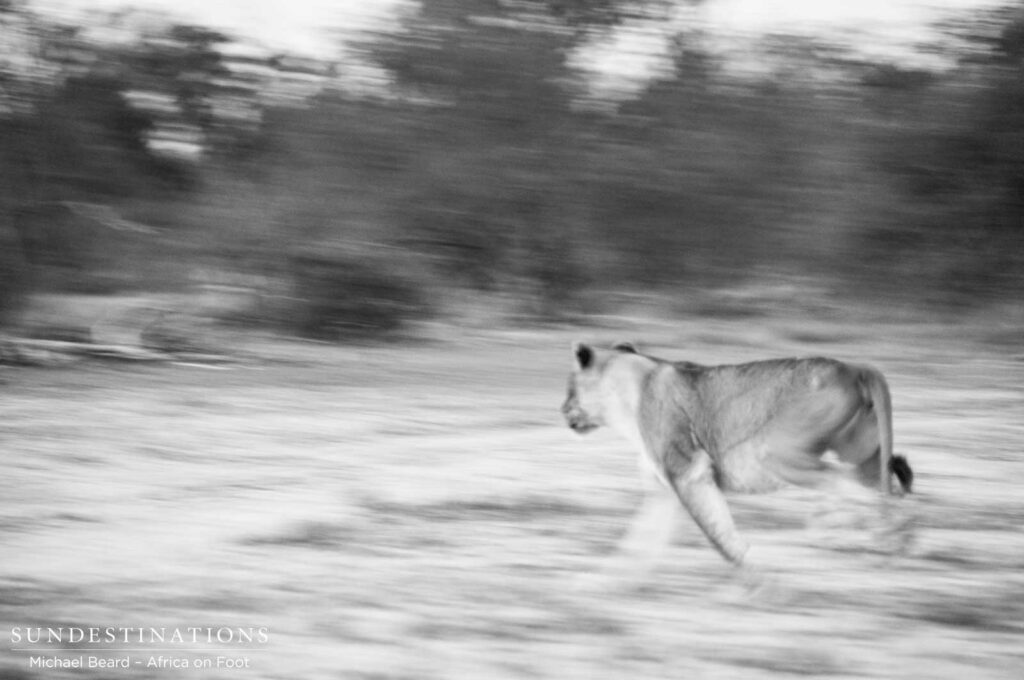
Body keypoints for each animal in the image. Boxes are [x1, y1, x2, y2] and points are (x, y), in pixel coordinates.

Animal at [561, 341, 913, 575]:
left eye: (570, 389)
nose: (562, 410)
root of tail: (853, 368)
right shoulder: (664, 493)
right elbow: (638, 544)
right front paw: (600, 586)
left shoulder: (691, 473)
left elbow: (718, 535)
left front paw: (753, 577)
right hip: (861, 453)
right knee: (887, 483)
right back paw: (891, 539)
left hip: (777, 453)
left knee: (849, 485)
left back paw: (839, 528)